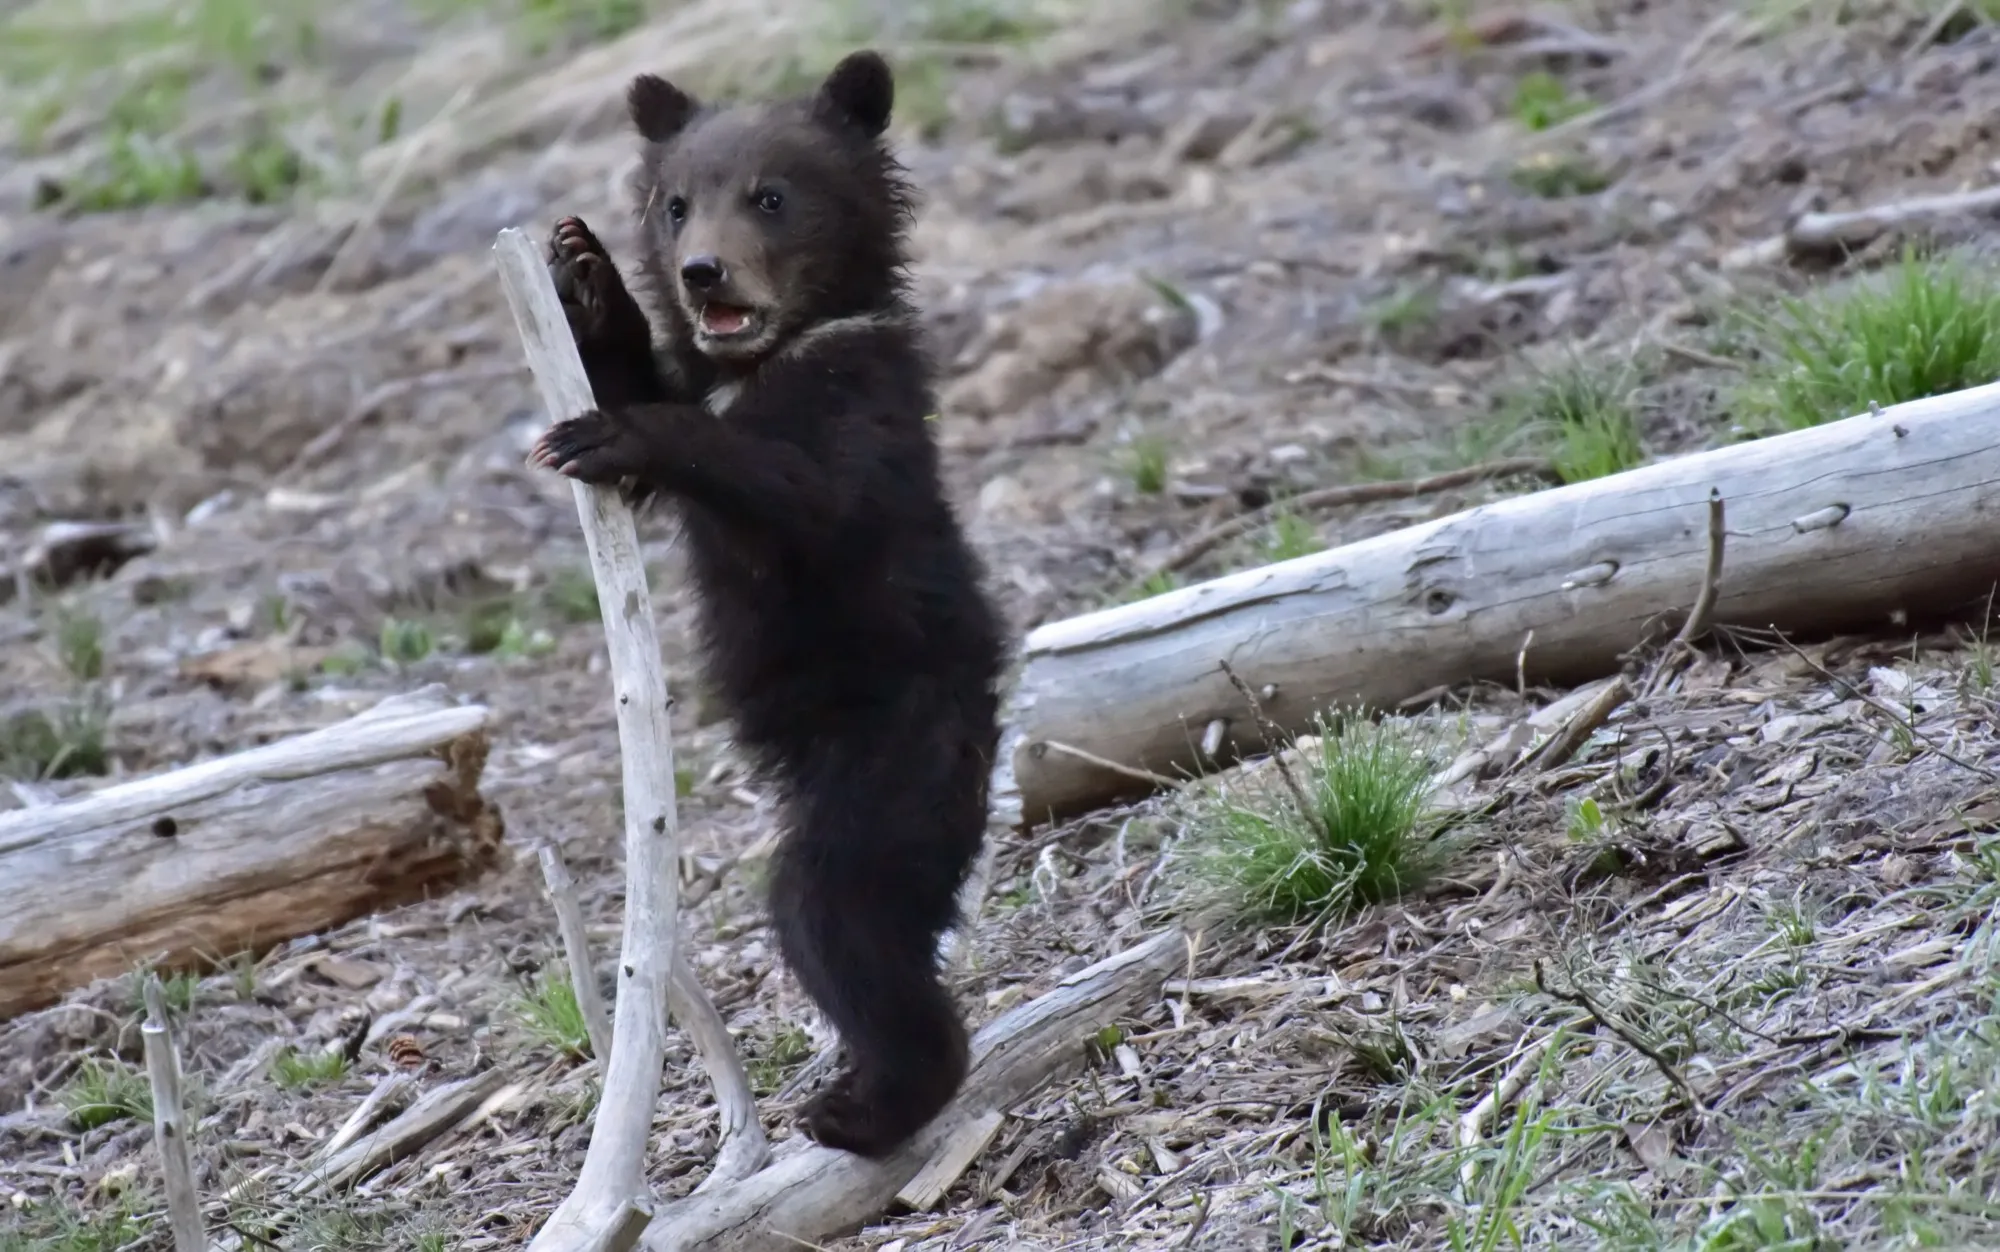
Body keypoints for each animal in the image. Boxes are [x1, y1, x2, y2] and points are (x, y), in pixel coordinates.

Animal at [527, 49, 1009, 1161]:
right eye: (673, 205)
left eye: (771, 196)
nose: (704, 271)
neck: (764, 356)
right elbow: (643, 375)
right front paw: (584, 272)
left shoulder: (857, 407)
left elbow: (797, 490)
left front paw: (606, 434)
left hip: (884, 766)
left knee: (834, 919)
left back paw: (868, 1100)